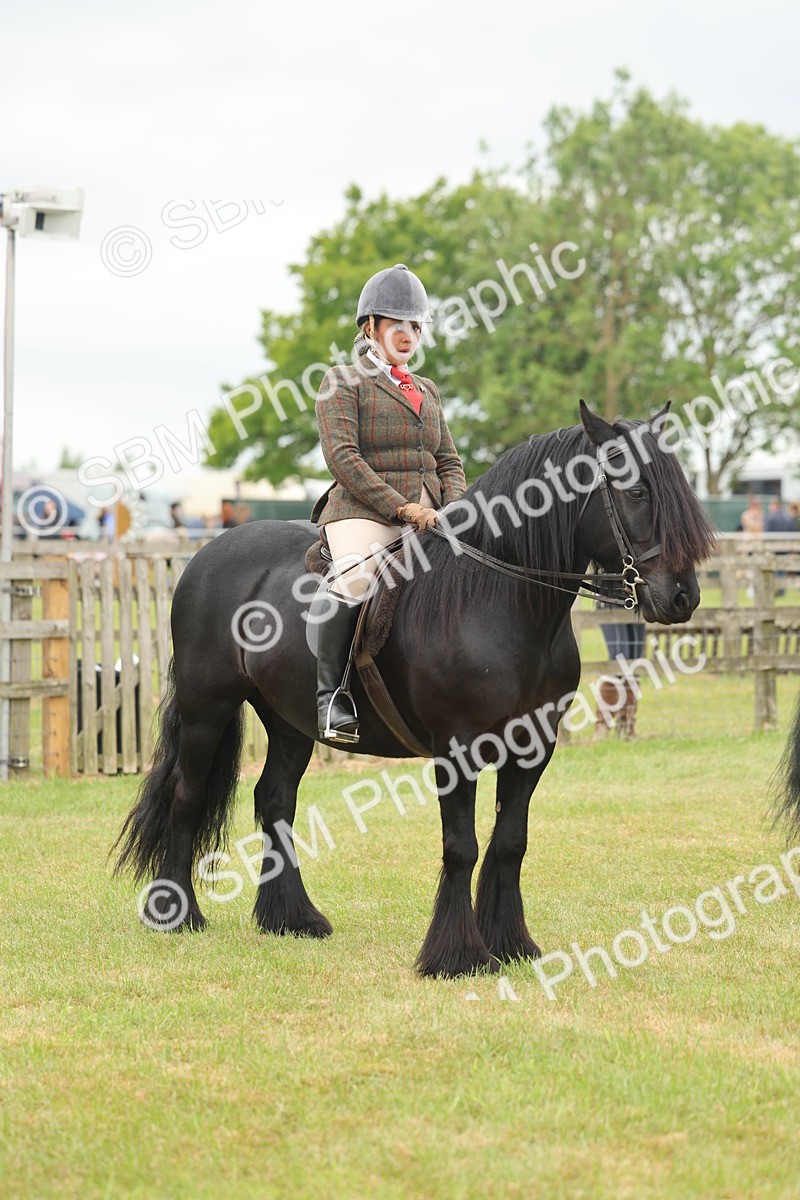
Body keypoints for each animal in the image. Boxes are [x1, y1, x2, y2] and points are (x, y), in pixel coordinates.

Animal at [113, 400, 716, 978]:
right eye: (636, 491)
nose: (683, 597)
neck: (500, 600)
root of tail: (208, 554)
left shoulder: (532, 747)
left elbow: (510, 843)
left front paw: (510, 945)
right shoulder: (458, 748)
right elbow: (461, 846)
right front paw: (457, 956)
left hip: (289, 723)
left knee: (275, 800)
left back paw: (291, 918)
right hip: (206, 708)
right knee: (187, 795)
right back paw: (178, 914)